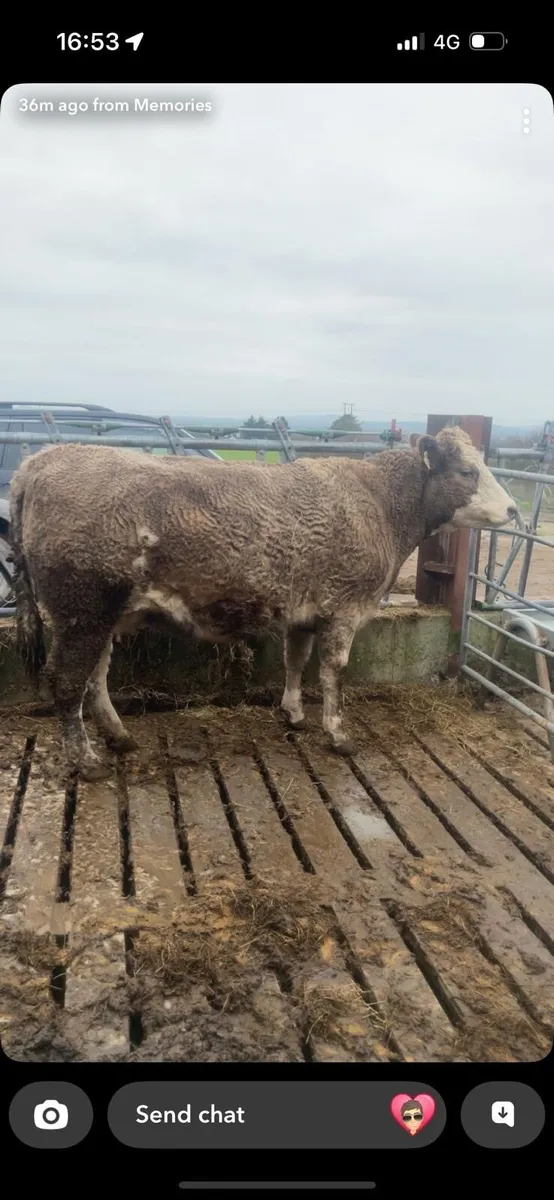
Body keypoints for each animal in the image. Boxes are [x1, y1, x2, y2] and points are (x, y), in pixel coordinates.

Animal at [9, 426, 516, 781]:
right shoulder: (346, 606)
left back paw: (118, 737)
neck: (378, 504)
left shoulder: (306, 610)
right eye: (467, 471)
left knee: (94, 676)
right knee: (67, 682)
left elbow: (296, 660)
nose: (512, 509)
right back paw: (85, 760)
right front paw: (338, 733)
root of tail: (39, 461)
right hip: (83, 610)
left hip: (100, 615)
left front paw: (293, 713)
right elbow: (334, 671)